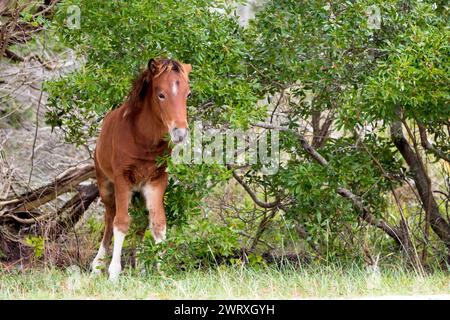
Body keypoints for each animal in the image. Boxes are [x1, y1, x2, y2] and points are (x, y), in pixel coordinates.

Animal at [91, 57, 192, 280]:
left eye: (188, 94)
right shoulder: (122, 179)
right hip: (106, 186)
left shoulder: (156, 181)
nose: (180, 133)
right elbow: (121, 222)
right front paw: (113, 273)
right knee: (109, 217)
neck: (144, 139)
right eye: (161, 94)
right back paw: (97, 265)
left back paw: (140, 266)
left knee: (139, 223)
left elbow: (159, 224)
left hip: (137, 193)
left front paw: (163, 272)